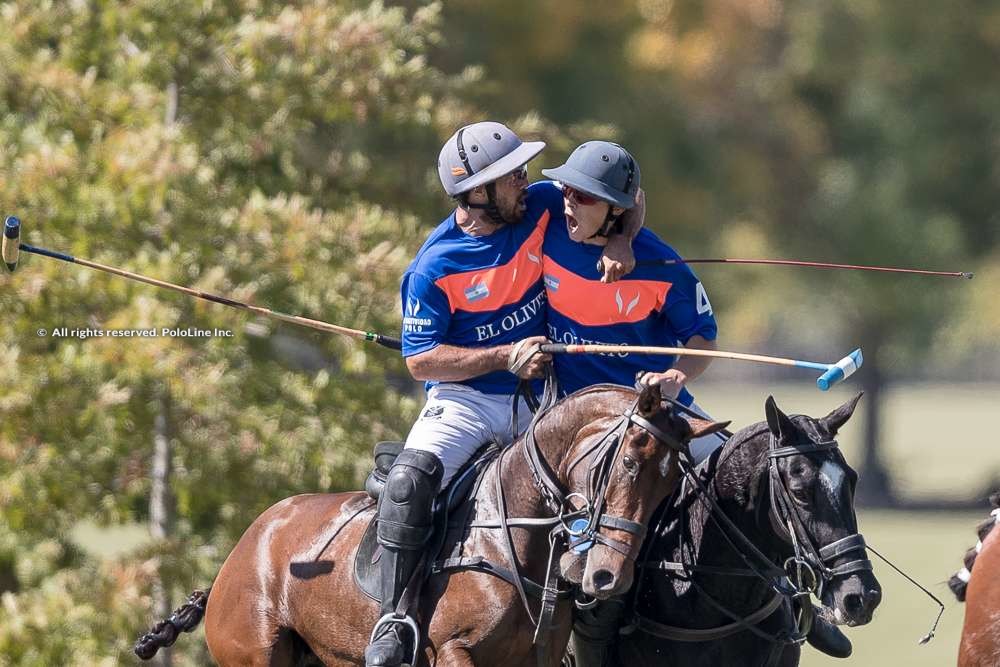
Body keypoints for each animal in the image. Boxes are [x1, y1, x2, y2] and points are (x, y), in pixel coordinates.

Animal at [135, 384, 728, 664]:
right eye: (628, 463)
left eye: (670, 487)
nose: (608, 578)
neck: (517, 534)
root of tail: (237, 554)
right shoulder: (454, 651)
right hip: (256, 654)